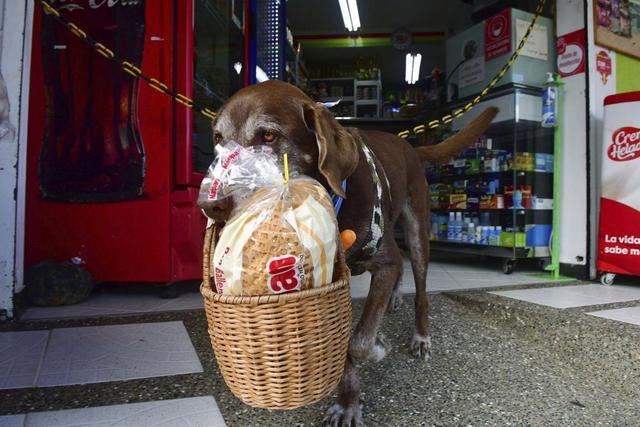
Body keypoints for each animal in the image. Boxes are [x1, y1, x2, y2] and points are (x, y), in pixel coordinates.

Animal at [202, 81, 498, 427]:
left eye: (269, 136)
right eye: (218, 139)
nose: (210, 205)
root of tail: (408, 144)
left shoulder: (386, 261)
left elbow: (359, 341)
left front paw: (377, 349)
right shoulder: (331, 285)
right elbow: (343, 342)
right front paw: (348, 402)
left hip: (417, 229)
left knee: (421, 288)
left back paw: (421, 336)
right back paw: (394, 299)